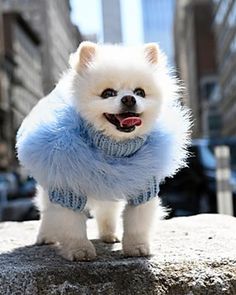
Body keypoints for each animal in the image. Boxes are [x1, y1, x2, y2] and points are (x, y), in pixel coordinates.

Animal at [16, 41, 190, 262]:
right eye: (108, 93)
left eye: (140, 92)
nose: (129, 99)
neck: (112, 149)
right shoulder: (67, 186)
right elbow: (71, 224)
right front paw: (79, 250)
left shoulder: (142, 185)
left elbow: (137, 221)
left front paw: (136, 247)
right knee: (47, 210)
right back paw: (45, 236)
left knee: (108, 211)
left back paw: (109, 235)